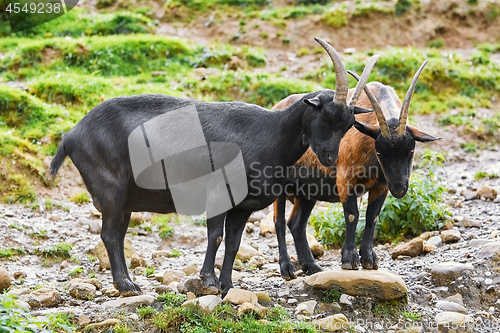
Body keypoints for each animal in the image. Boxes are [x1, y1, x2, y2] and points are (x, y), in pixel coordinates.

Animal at [49, 37, 378, 294]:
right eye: (326, 115)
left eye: (348, 124)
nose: (330, 158)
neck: (268, 133)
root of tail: (71, 136)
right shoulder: (219, 194)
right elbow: (215, 235)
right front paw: (208, 280)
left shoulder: (242, 206)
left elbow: (233, 242)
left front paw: (227, 285)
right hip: (111, 190)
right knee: (109, 235)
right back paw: (126, 285)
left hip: (125, 199)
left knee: (116, 235)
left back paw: (128, 283)